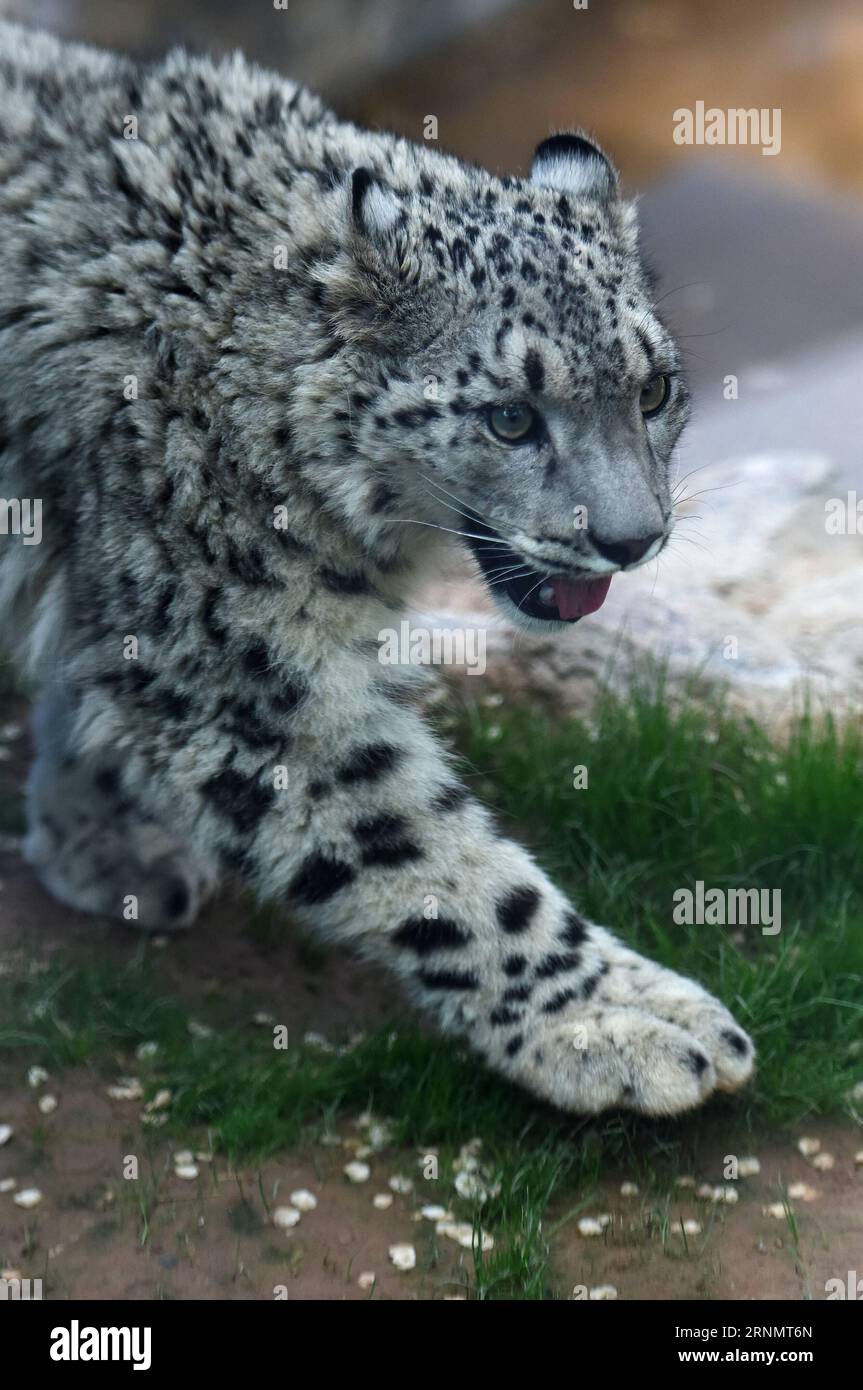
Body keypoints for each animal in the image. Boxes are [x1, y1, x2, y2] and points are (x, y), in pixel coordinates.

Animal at [0, 20, 754, 1116]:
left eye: (651, 388)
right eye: (509, 417)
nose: (630, 538)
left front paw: (97, 833)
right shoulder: (236, 670)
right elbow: (425, 852)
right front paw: (620, 1024)